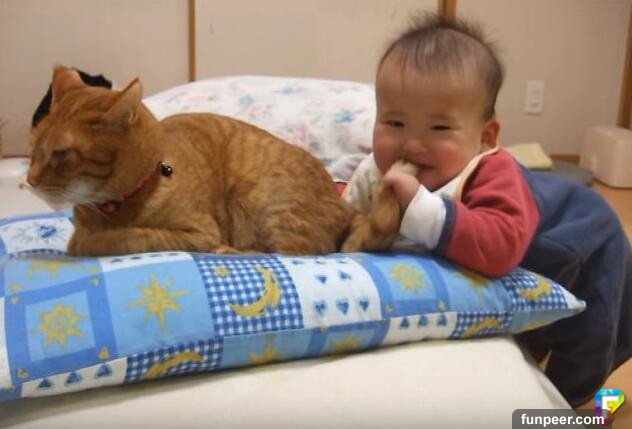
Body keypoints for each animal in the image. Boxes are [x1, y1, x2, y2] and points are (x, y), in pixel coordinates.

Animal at [26, 66, 401, 256]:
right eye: (33, 148)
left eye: (60, 154)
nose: (28, 180)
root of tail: (345, 204)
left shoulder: (198, 233)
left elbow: (125, 238)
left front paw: (92, 242)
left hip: (264, 200)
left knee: (290, 255)